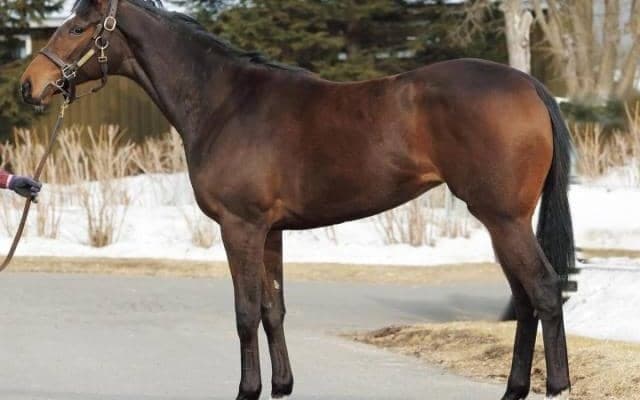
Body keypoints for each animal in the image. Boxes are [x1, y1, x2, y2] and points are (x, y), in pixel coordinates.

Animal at [20, 1, 575, 399]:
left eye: (77, 28)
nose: (29, 86)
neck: (225, 104)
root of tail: (528, 84)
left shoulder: (239, 227)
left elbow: (246, 311)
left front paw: (247, 390)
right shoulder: (270, 232)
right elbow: (273, 309)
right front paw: (281, 385)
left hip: (504, 218)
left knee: (545, 291)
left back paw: (556, 387)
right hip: (500, 221)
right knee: (526, 299)